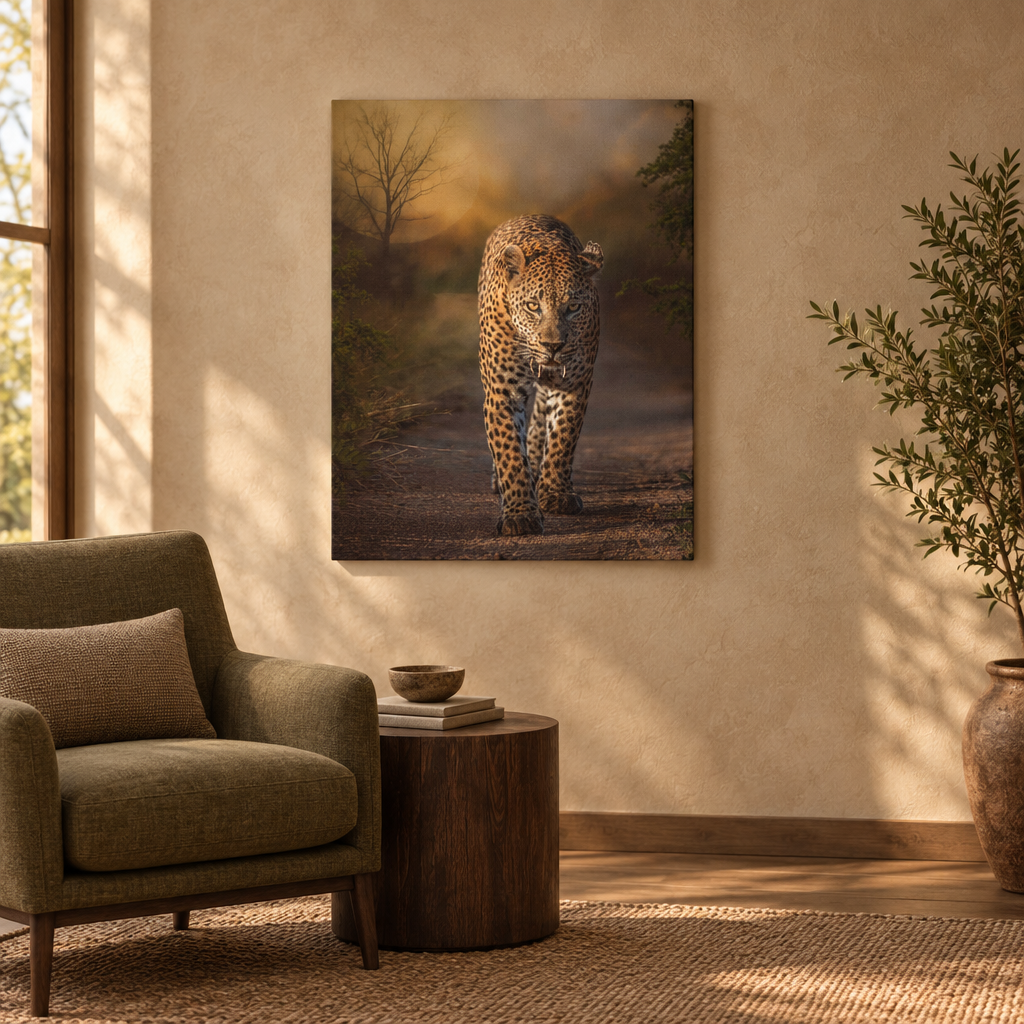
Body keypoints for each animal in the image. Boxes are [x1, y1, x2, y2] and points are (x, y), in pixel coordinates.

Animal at [477, 214, 604, 536]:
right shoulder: (502, 391)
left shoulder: (575, 382)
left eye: (573, 307)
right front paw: (520, 513)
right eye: (533, 306)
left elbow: (562, 437)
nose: (553, 346)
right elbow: (509, 451)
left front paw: (556, 493)